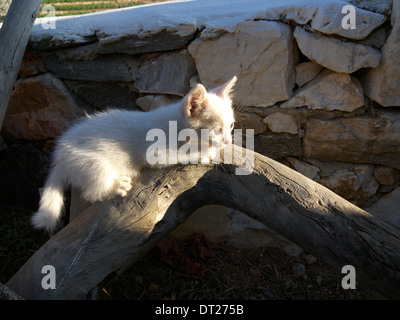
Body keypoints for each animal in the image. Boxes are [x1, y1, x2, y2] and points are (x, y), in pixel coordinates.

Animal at [32, 77, 238, 232]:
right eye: (217, 130)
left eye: (231, 125)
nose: (228, 141)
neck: (176, 125)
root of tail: (59, 159)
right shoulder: (156, 150)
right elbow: (180, 152)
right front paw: (204, 151)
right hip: (92, 163)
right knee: (92, 192)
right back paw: (117, 186)